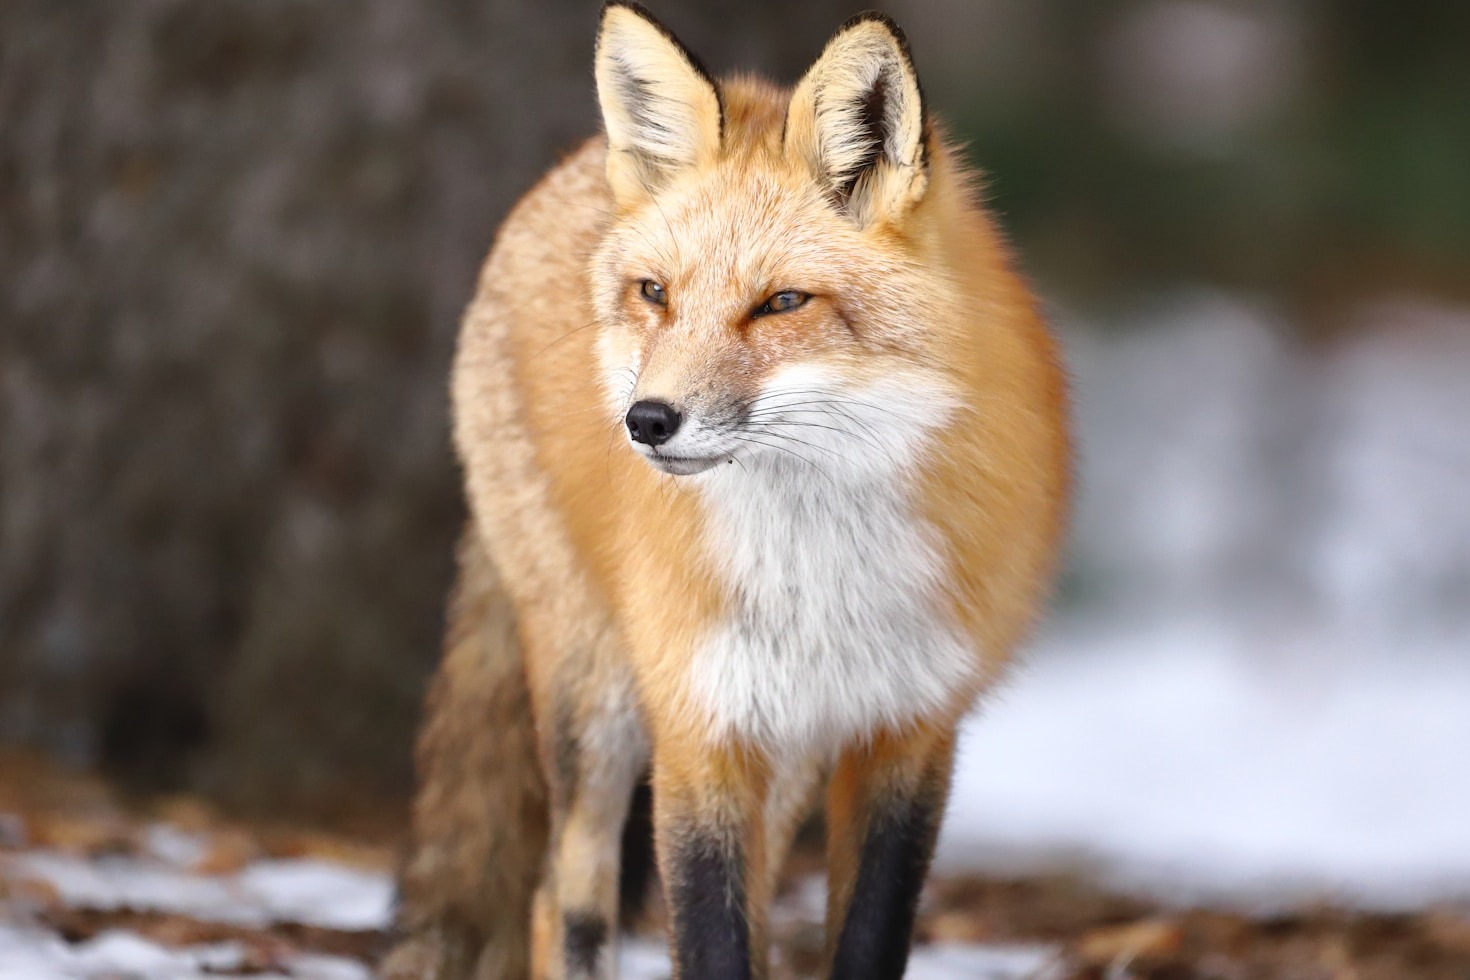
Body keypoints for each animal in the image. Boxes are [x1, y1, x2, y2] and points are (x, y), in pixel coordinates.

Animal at [384, 3, 1070, 979]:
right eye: (656, 294)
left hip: (783, 755)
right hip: (596, 701)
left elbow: (862, 942)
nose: (645, 422)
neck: (821, 571)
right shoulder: (696, 728)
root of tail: (562, 173)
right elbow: (708, 940)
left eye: (782, 303)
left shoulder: (907, 730)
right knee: (563, 900)